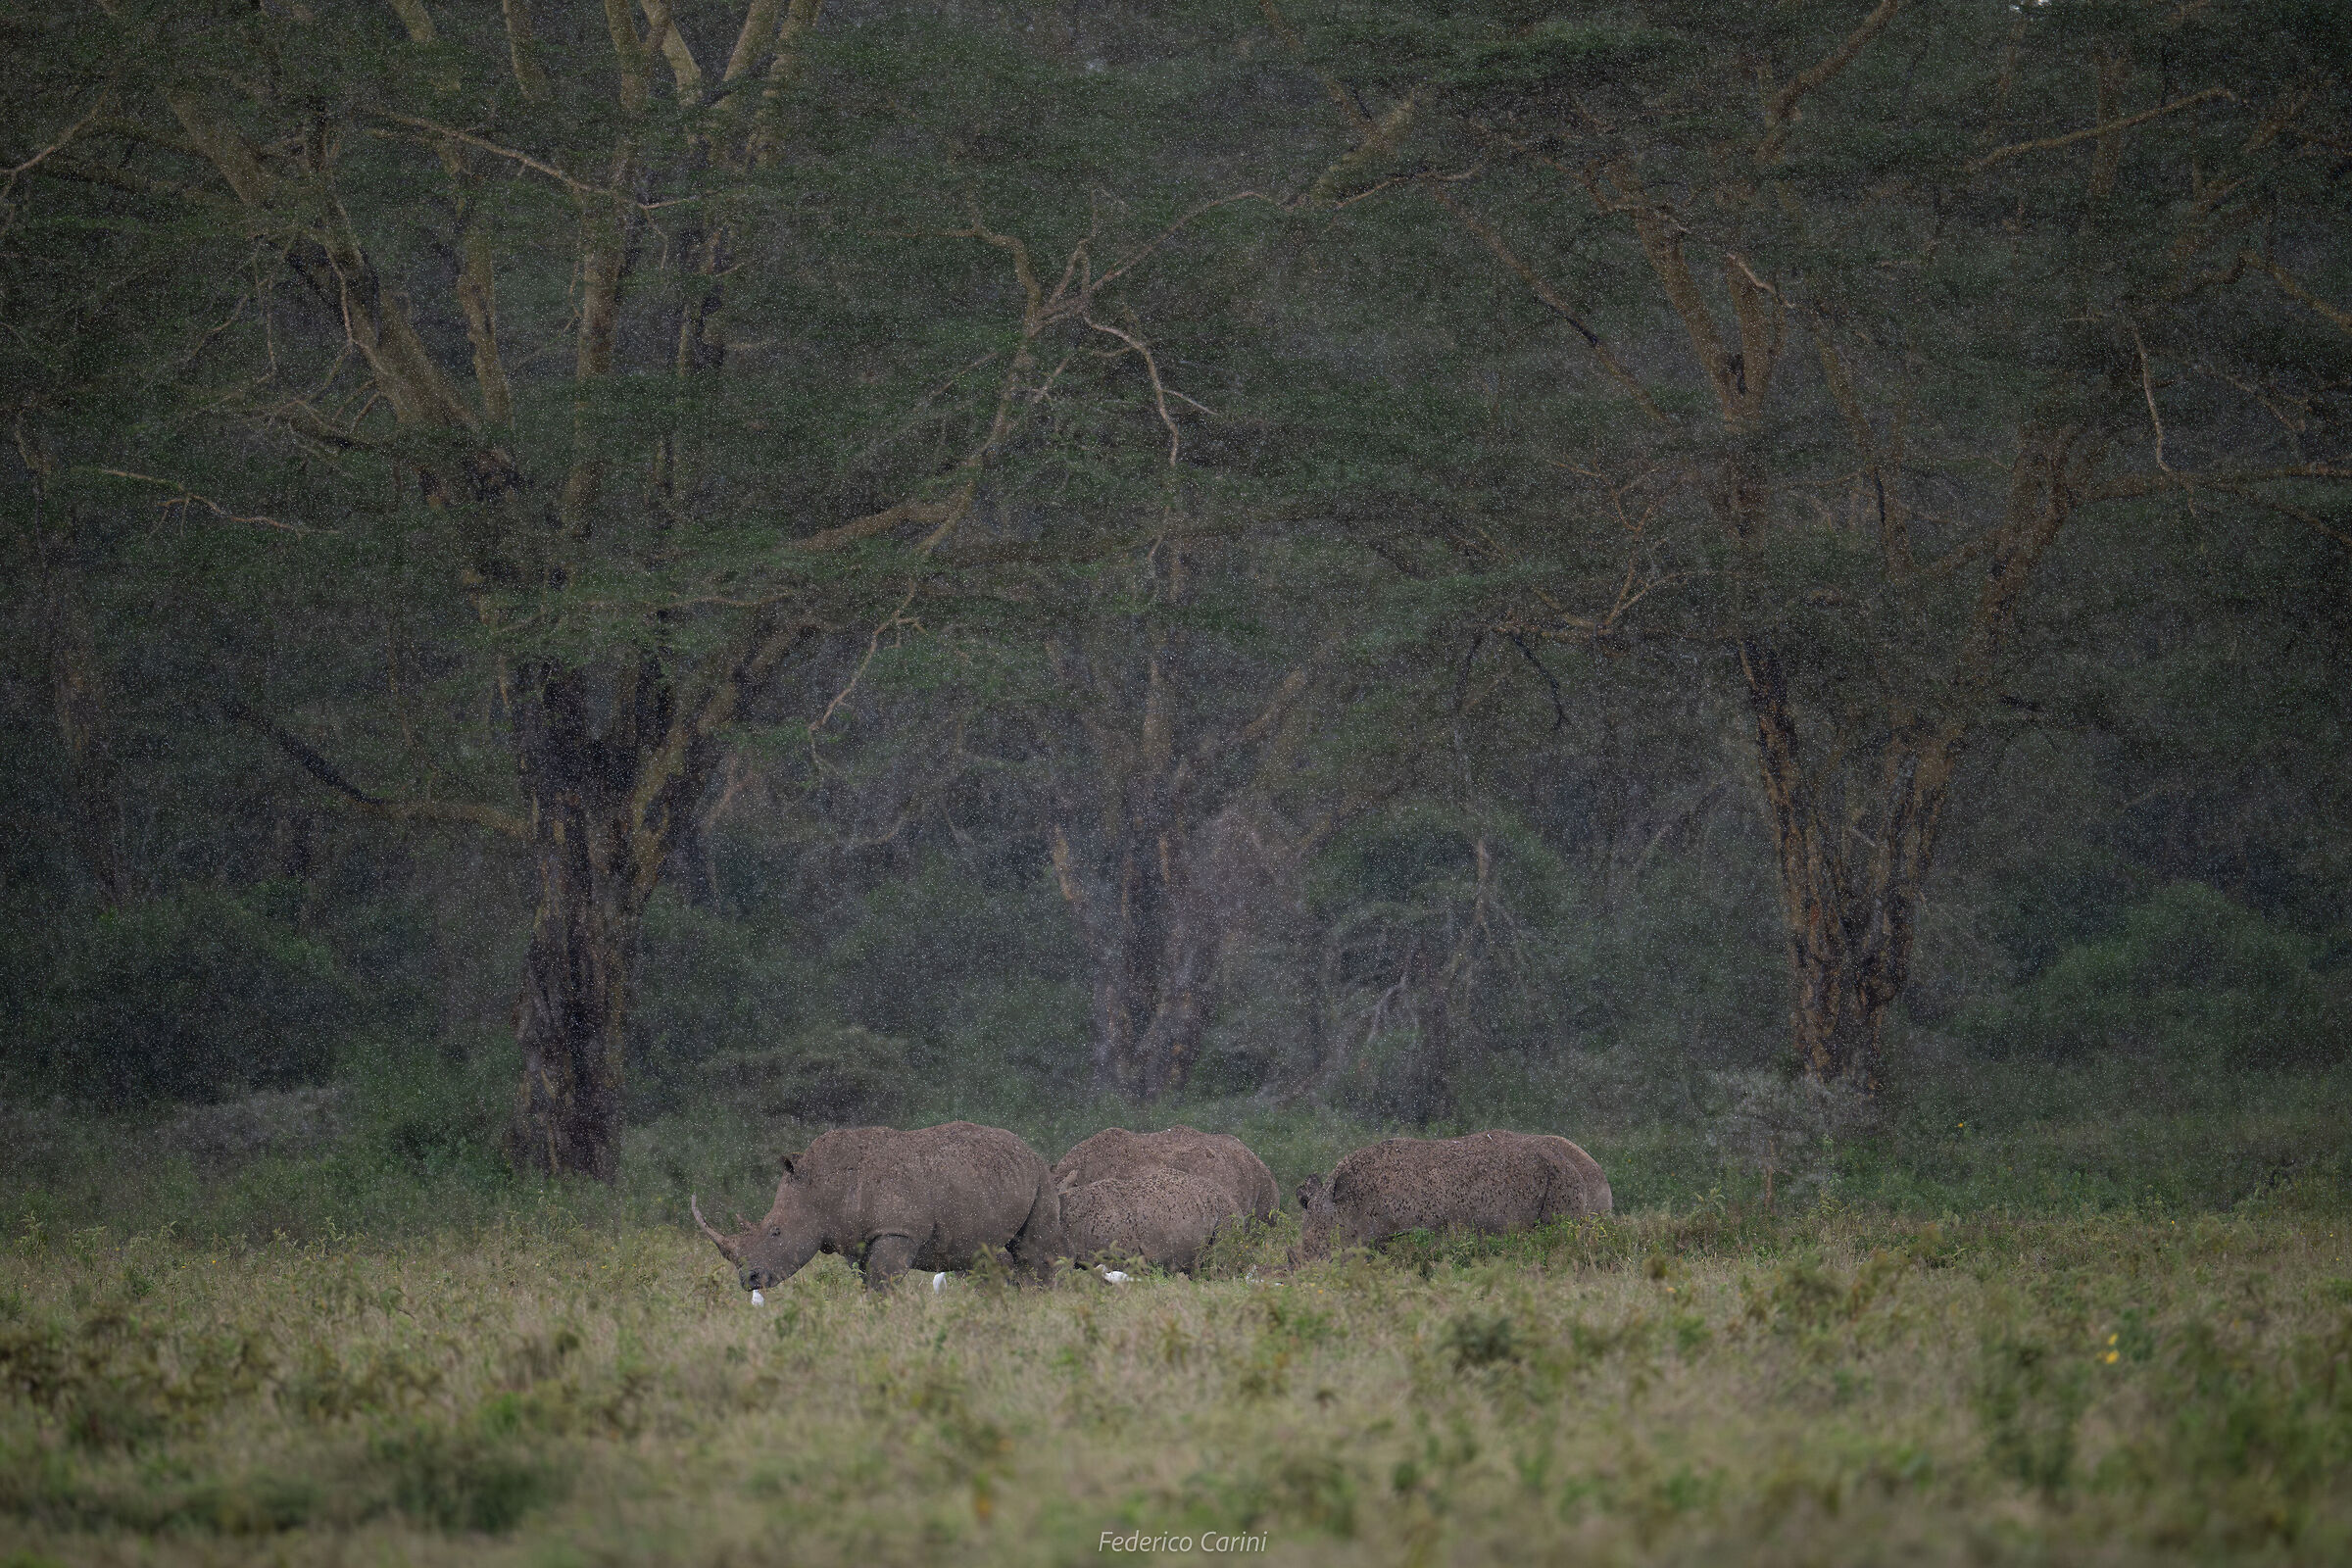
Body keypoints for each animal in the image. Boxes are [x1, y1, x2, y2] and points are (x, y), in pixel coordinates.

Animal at [692, 1121, 1067, 1292]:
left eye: (775, 1232)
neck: (822, 1188)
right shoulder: (855, 1239)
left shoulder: (896, 1230)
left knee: (1032, 1252)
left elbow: (882, 1282)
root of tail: (1027, 1148)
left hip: (1040, 1176)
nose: (748, 1280)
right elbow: (867, 1281)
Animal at [1295, 1129, 1612, 1260]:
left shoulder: (1418, 1229)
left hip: (1562, 1177)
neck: (1348, 1204)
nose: (1301, 1272)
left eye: (1322, 1251)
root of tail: (1594, 1166)